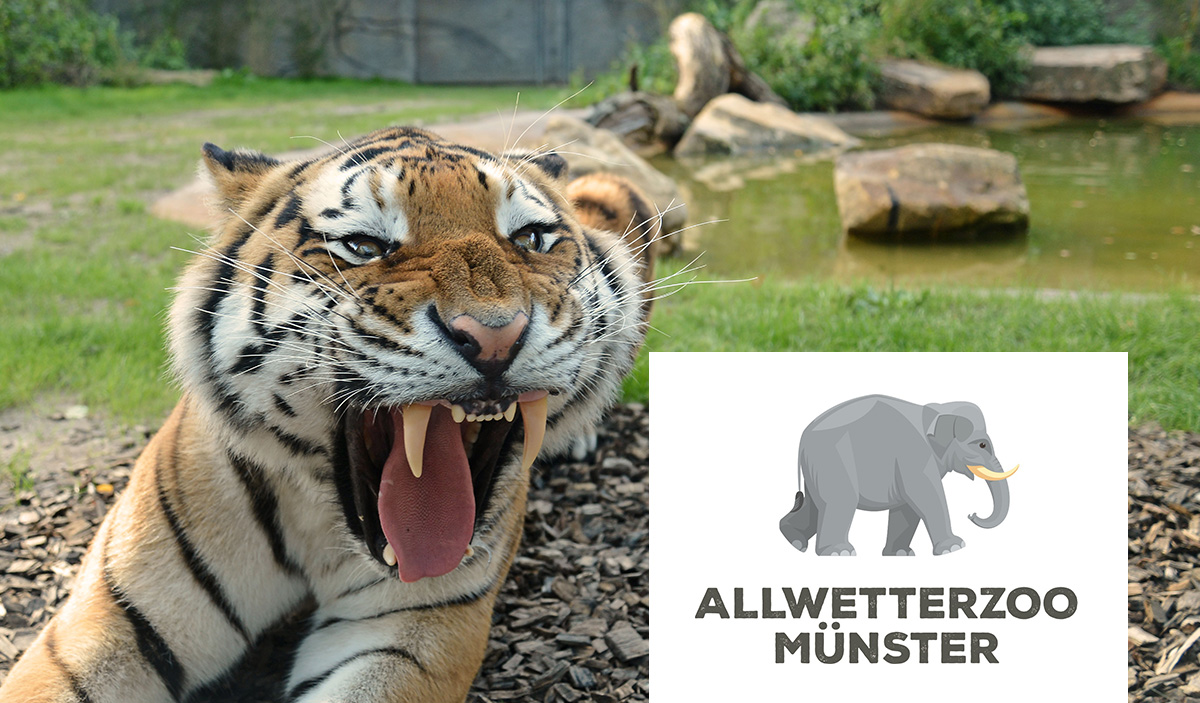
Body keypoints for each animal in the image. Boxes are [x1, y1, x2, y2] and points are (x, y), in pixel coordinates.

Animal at [0, 126, 655, 703]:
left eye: (532, 239)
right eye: (363, 246)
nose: (496, 336)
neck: (318, 518)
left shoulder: (410, 630)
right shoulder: (110, 619)